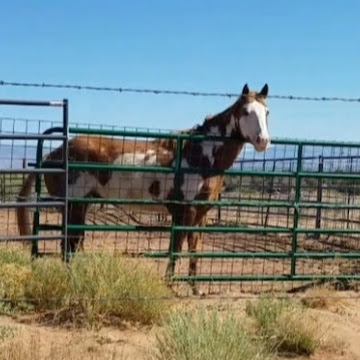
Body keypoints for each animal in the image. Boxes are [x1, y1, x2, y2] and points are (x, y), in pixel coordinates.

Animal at [16, 85, 270, 296]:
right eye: (246, 111)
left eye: (266, 112)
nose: (263, 141)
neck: (200, 154)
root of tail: (53, 154)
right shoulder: (184, 213)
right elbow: (176, 250)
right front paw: (169, 286)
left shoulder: (200, 215)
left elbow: (194, 250)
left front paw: (195, 289)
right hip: (74, 205)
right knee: (68, 244)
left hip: (82, 205)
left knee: (73, 243)